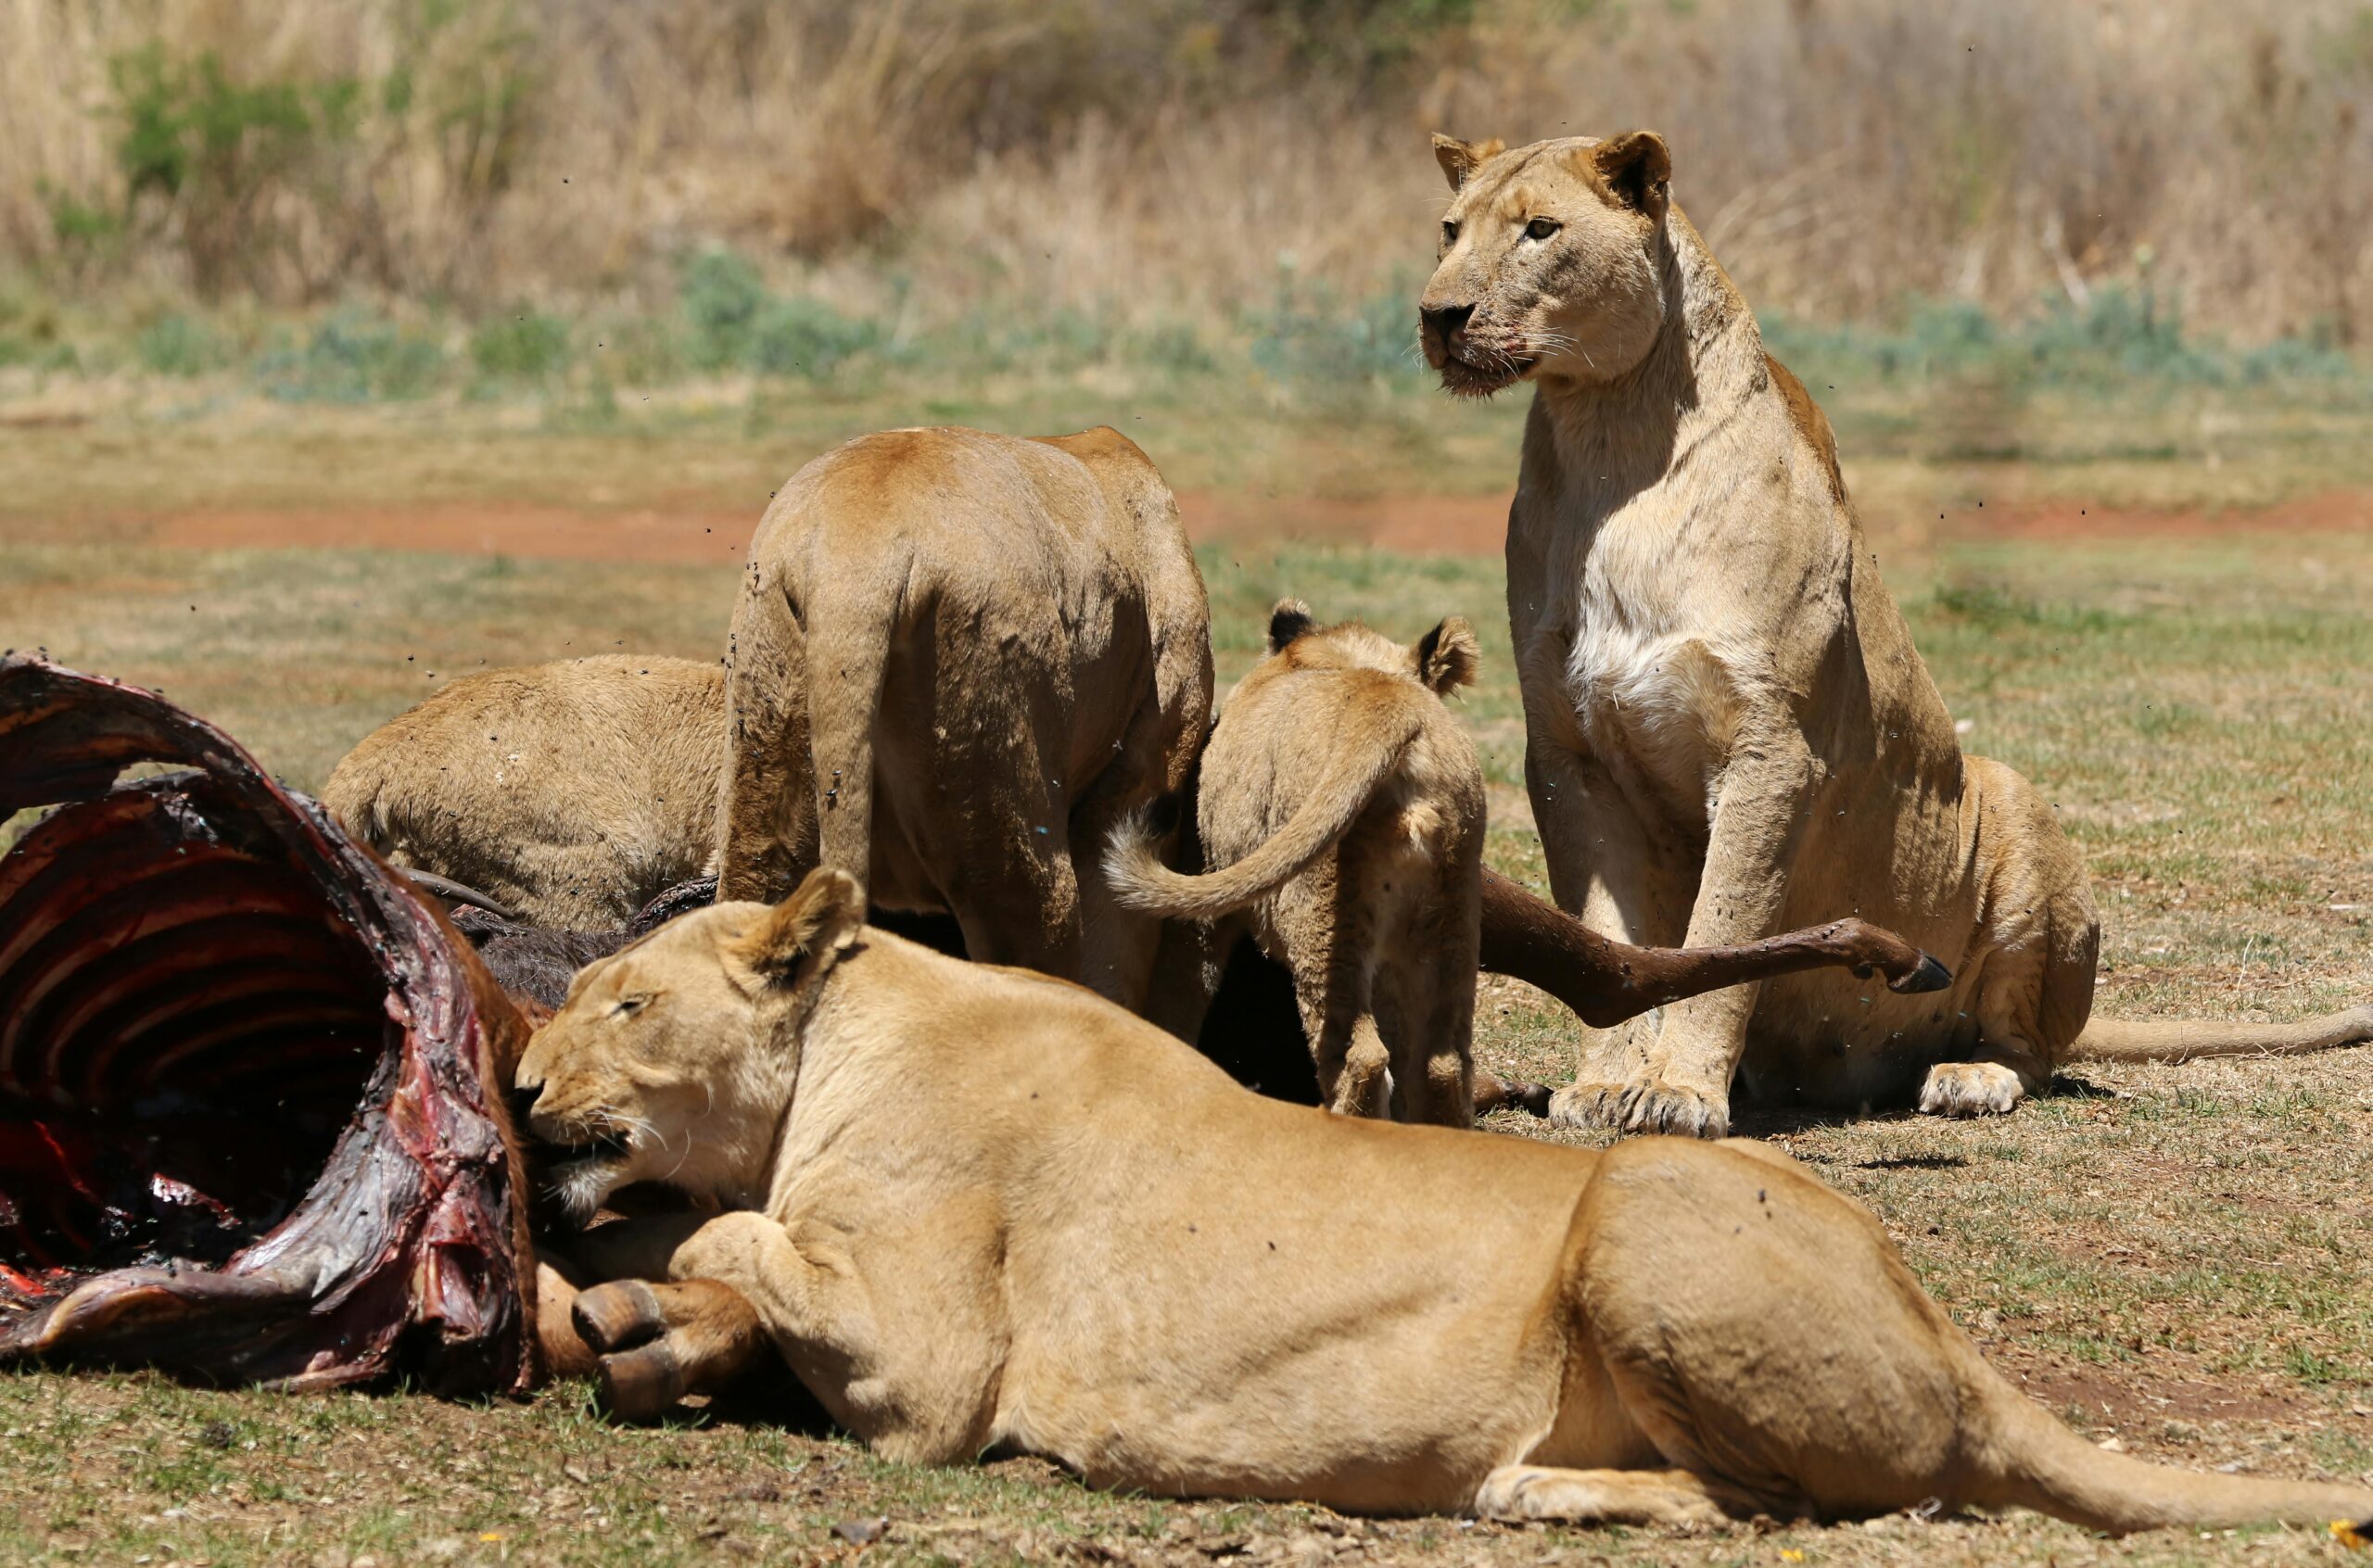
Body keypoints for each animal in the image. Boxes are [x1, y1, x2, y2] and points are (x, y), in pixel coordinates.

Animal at [513, 868, 2373, 1533]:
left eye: (625, 1000)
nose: (520, 1093)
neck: (855, 1024)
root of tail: (1955, 1339)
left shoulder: (931, 1371)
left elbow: (733, 1228)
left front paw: (646, 1272)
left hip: (1648, 1203)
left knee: (1796, 1507)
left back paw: (1532, 1492)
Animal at [1106, 600, 1486, 1123]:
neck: (1329, 655)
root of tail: (1391, 707)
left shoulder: (1203, 889)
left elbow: (1181, 993)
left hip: (1322, 917)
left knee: (1360, 1055)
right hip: (1452, 920)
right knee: (1441, 1064)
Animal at [1418, 130, 2373, 1135]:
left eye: (1539, 230)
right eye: (1449, 229)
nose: (1437, 315)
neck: (1607, 440)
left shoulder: (1771, 747)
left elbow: (1723, 924)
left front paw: (1677, 1089)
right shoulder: (1567, 755)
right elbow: (1607, 932)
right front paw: (1606, 1084)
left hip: (2015, 807)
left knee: (2031, 1048)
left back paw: (1969, 1076)